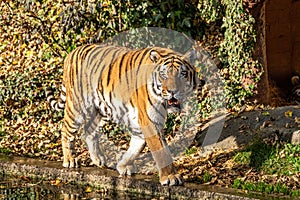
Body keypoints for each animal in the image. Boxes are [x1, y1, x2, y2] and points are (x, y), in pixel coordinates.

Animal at [45, 44, 198, 186]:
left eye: (182, 74)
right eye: (164, 75)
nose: (173, 91)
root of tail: (72, 52)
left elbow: (136, 146)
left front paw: (123, 166)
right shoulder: (149, 120)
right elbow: (162, 151)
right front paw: (171, 177)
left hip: (102, 109)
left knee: (88, 129)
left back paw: (98, 159)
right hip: (77, 106)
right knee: (66, 130)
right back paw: (70, 160)